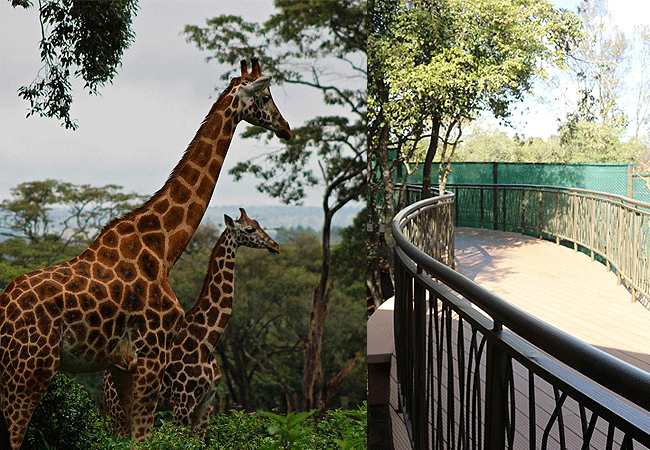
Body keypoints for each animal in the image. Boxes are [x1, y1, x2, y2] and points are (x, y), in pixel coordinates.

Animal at [102, 209, 280, 438]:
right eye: (249, 229)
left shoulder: (207, 403)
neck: (207, 340)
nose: (275, 245)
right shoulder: (184, 401)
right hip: (119, 410)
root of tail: (105, 378)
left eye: (258, 223)